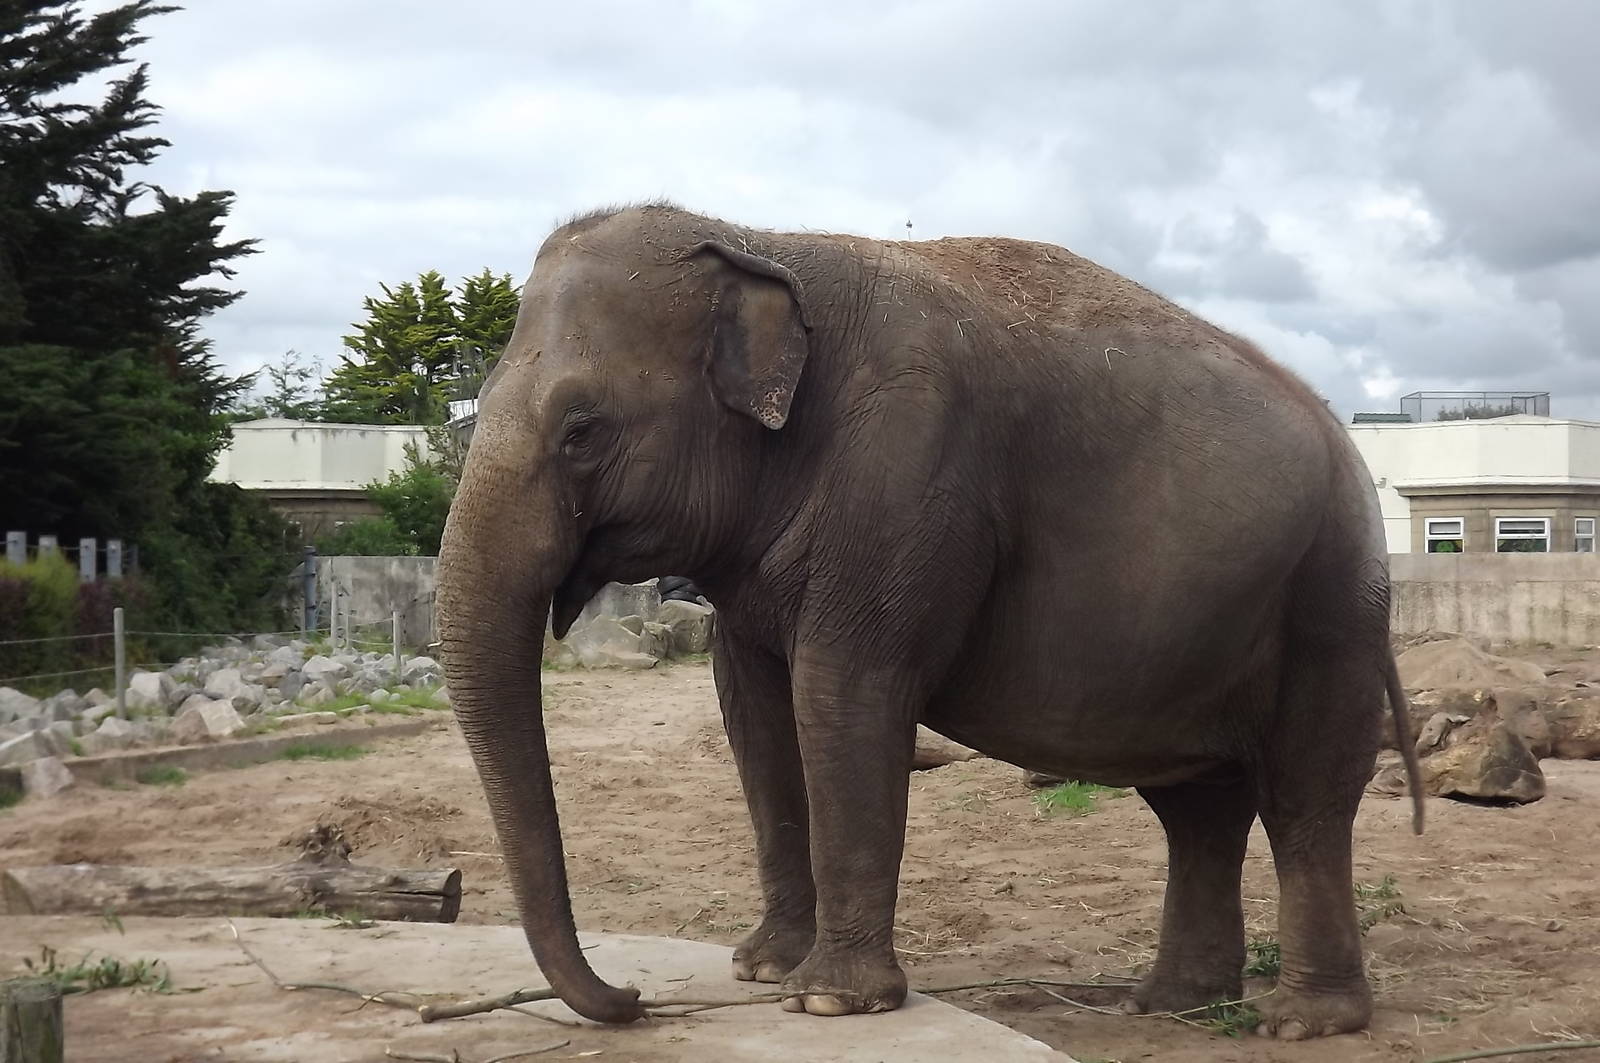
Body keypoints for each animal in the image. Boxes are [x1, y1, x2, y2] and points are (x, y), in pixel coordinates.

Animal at [435, 202, 1424, 1040]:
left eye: (582, 430)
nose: (634, 997)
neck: (761, 237)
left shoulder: (908, 473)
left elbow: (844, 694)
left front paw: (829, 1000)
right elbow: (753, 714)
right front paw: (762, 970)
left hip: (1330, 599)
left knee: (1301, 800)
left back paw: (1298, 1021)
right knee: (1199, 810)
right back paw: (1167, 1003)